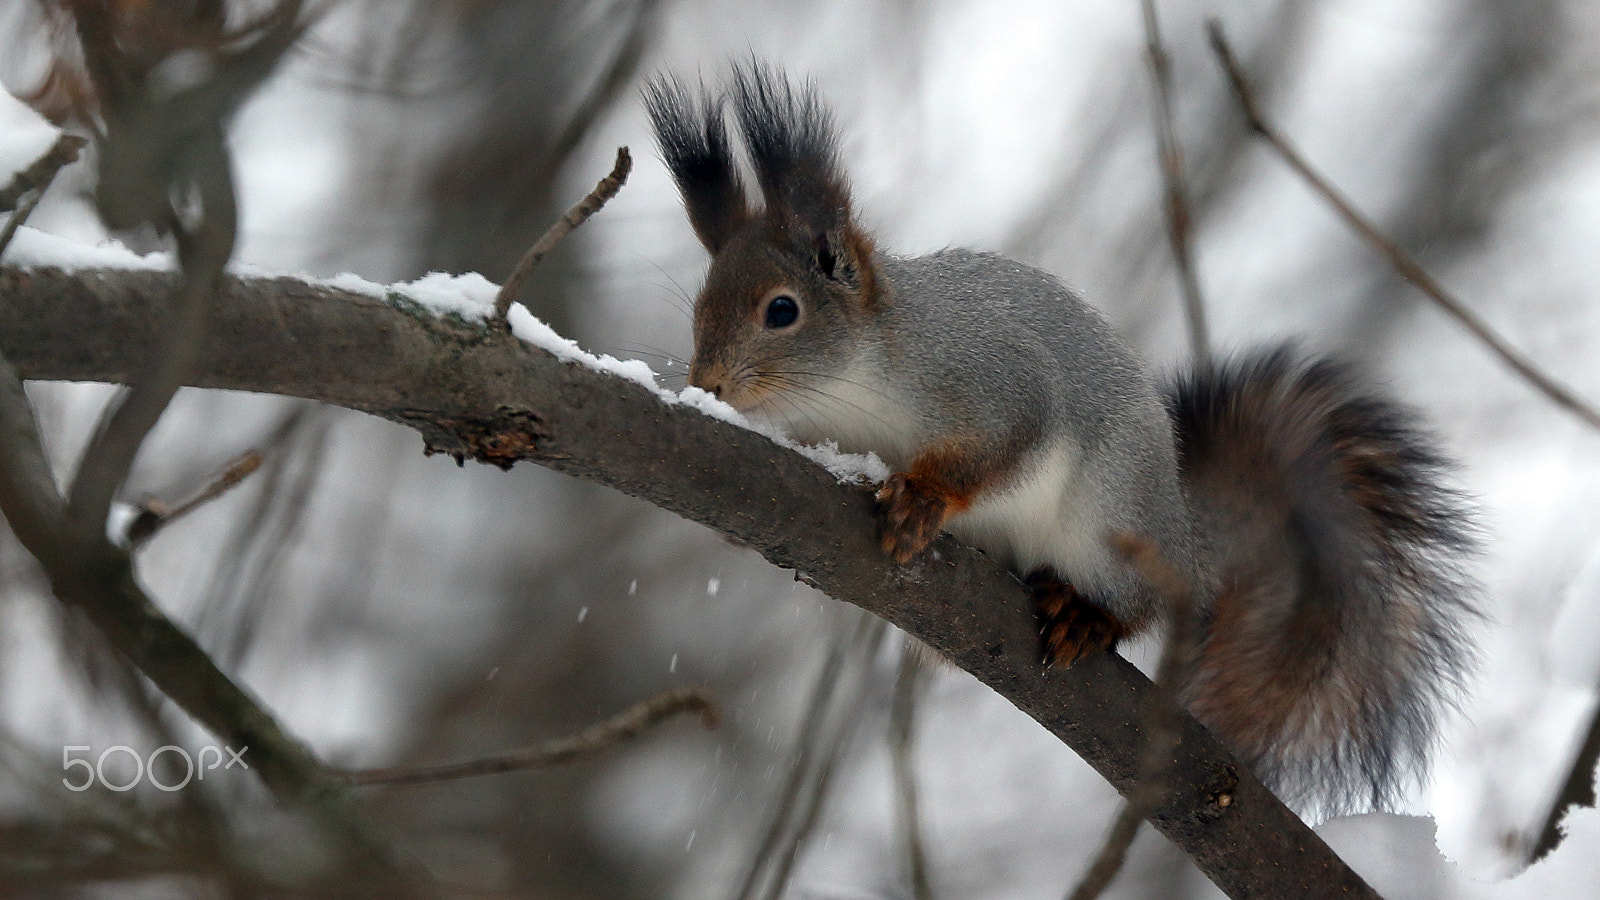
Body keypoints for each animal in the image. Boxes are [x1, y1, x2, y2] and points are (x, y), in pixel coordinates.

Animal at [644, 64, 1478, 817]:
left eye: (781, 311)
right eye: (700, 308)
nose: (709, 382)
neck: (857, 386)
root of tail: (1184, 536)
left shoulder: (995, 379)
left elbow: (1002, 445)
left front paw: (922, 497)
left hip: (1112, 514)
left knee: (1137, 604)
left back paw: (1087, 615)